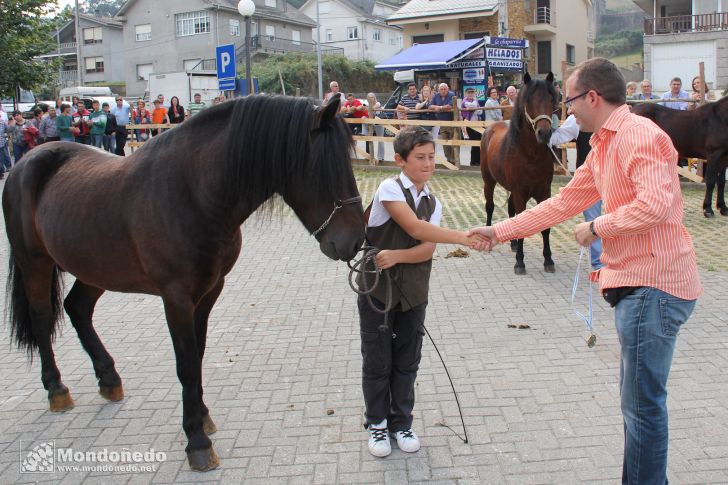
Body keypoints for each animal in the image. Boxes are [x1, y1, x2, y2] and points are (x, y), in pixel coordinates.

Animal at [0, 94, 364, 468]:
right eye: (324, 168)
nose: (354, 241)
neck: (192, 193)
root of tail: (26, 162)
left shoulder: (209, 291)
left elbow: (197, 355)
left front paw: (202, 416)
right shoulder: (176, 298)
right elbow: (186, 364)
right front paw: (197, 441)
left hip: (94, 267)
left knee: (77, 309)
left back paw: (109, 379)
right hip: (35, 263)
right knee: (42, 319)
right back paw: (56, 389)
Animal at [480, 73, 560, 274]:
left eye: (551, 99)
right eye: (529, 100)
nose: (544, 133)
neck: (530, 154)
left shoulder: (544, 192)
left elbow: (544, 227)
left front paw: (548, 260)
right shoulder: (520, 192)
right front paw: (520, 263)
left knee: (511, 211)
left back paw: (514, 244)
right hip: (489, 182)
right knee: (490, 206)